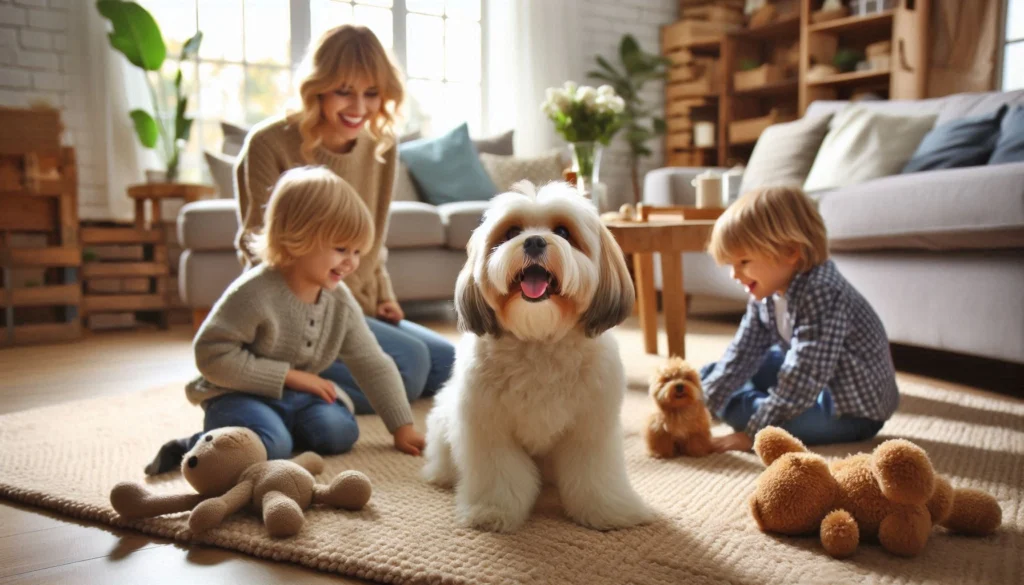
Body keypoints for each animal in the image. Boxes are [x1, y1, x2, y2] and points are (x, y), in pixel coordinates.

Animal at [419, 183, 651, 536]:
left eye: (563, 232)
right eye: (512, 232)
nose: (534, 241)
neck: (539, 338)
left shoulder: (590, 428)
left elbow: (594, 474)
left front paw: (609, 511)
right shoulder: (490, 428)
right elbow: (499, 476)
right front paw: (493, 511)